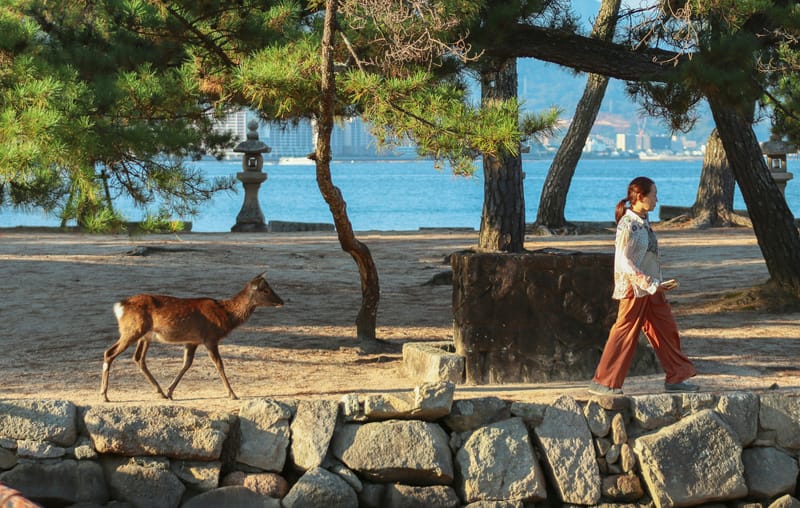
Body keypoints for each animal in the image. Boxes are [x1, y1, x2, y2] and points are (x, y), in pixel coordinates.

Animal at [100, 272, 284, 402]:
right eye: (266, 290)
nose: (282, 301)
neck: (226, 315)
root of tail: (120, 306)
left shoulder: (192, 341)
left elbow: (186, 364)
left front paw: (170, 392)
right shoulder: (210, 338)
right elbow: (219, 364)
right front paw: (232, 394)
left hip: (144, 336)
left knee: (138, 358)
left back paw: (160, 392)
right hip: (132, 330)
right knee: (109, 353)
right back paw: (104, 395)